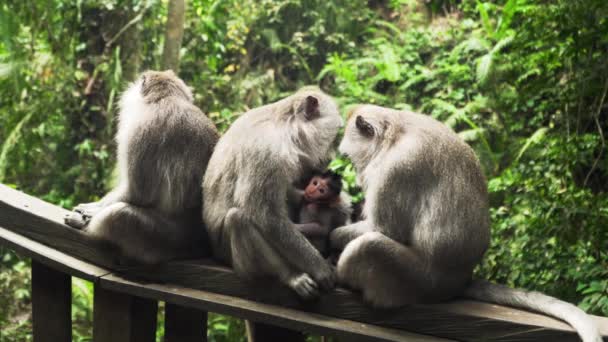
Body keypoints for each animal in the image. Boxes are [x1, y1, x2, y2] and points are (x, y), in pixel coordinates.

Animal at [64, 69, 220, 266]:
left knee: (118, 215)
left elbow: (138, 194)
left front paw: (91, 211)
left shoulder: (141, 132)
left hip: (161, 239)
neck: (166, 98)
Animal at [203, 87, 342, 300]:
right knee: (238, 219)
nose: (332, 158)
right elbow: (268, 217)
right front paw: (320, 269)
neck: (284, 127)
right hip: (229, 253)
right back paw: (291, 275)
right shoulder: (266, 152)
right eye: (333, 139)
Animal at [332, 105, 604, 342]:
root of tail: (461, 280)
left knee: (369, 245)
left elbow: (385, 229)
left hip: (418, 281)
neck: (393, 135)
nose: (358, 176)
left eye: (350, 158)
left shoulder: (395, 169)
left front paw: (332, 235)